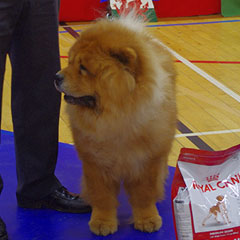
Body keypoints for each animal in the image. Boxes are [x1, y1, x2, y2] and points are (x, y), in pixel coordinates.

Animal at [55, 13, 177, 236]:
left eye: (83, 68)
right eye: (70, 61)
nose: (56, 76)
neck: (117, 118)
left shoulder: (147, 160)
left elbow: (144, 194)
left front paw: (147, 219)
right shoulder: (95, 162)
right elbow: (102, 196)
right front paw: (102, 222)